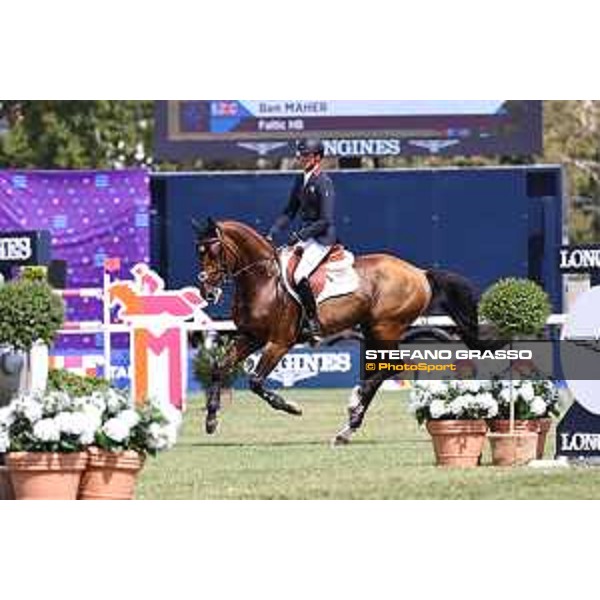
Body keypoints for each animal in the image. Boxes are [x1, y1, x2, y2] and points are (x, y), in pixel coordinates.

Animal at [196, 218, 492, 442]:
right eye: (199, 251)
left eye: (214, 251)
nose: (206, 292)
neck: (263, 280)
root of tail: (419, 273)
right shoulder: (252, 337)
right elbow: (219, 367)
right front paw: (211, 419)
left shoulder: (279, 341)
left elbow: (256, 382)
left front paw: (291, 407)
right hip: (373, 330)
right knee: (383, 370)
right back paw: (348, 427)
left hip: (385, 328)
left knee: (393, 367)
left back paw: (354, 402)